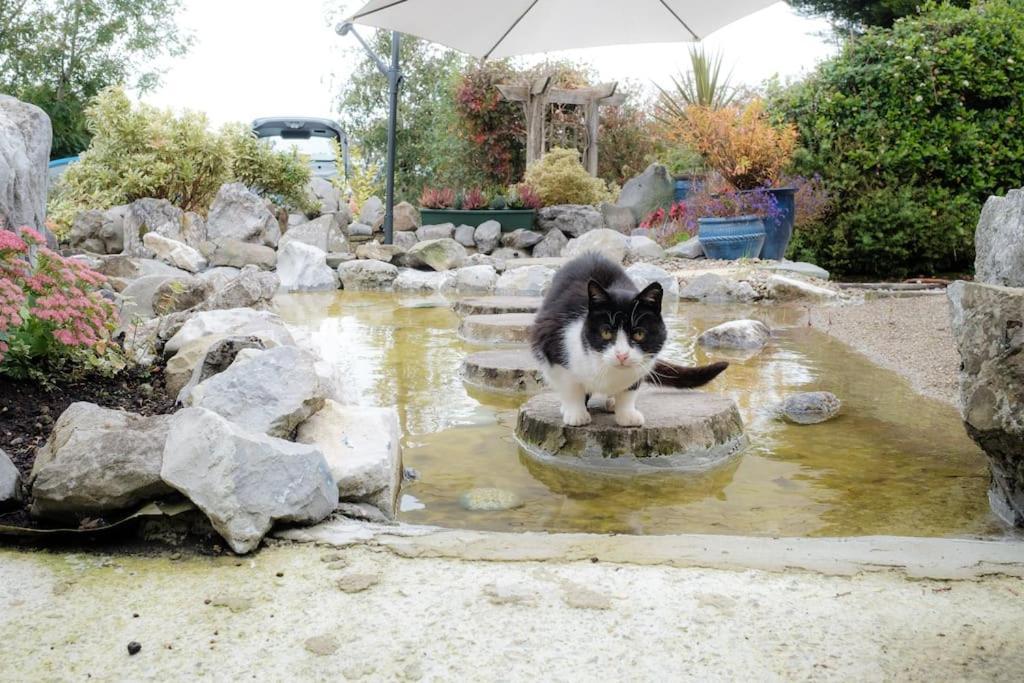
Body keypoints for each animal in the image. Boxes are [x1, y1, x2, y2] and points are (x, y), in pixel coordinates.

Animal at [528, 253, 729, 428]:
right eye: (606, 333)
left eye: (639, 334)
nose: (622, 355)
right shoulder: (551, 341)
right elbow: (570, 386)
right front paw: (576, 413)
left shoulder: (642, 365)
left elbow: (630, 389)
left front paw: (626, 414)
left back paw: (611, 401)